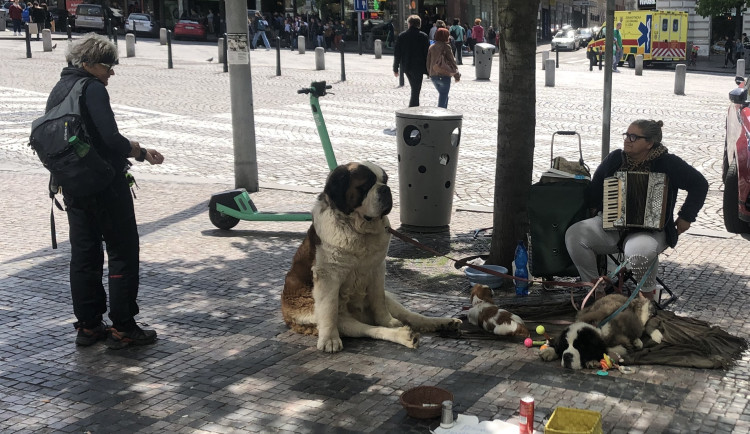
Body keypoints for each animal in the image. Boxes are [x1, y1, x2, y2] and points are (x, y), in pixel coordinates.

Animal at [280, 162, 462, 352]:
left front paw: (388, 321)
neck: (359, 230)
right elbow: (329, 310)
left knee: (410, 316)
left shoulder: (377, 269)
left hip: (390, 301)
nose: (386, 189)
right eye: (366, 185)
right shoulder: (328, 275)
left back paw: (443, 323)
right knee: (368, 329)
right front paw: (329, 340)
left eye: (385, 180)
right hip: (333, 316)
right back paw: (404, 335)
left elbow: (378, 300)